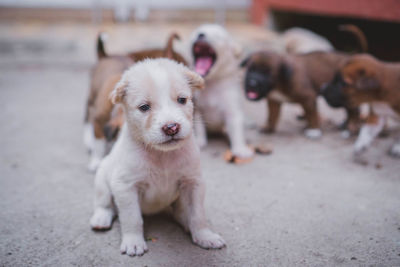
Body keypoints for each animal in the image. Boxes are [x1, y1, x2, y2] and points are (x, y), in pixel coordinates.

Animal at [83, 32, 189, 173]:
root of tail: (107, 55)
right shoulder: (98, 120)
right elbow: (98, 143)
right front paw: (96, 161)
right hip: (91, 97)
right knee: (87, 117)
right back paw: (88, 139)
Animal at [90, 59, 227, 258]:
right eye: (144, 107)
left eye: (182, 100)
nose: (171, 127)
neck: (163, 155)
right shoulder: (125, 186)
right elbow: (132, 218)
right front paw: (133, 242)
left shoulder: (193, 182)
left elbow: (197, 214)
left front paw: (204, 235)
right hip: (102, 179)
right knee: (105, 203)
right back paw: (101, 218)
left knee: (180, 212)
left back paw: (186, 222)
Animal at [190, 24, 253, 163]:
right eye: (197, 31)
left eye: (218, 36)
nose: (201, 35)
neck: (212, 82)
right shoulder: (197, 107)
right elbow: (200, 126)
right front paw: (199, 141)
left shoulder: (232, 106)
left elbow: (236, 126)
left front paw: (240, 149)